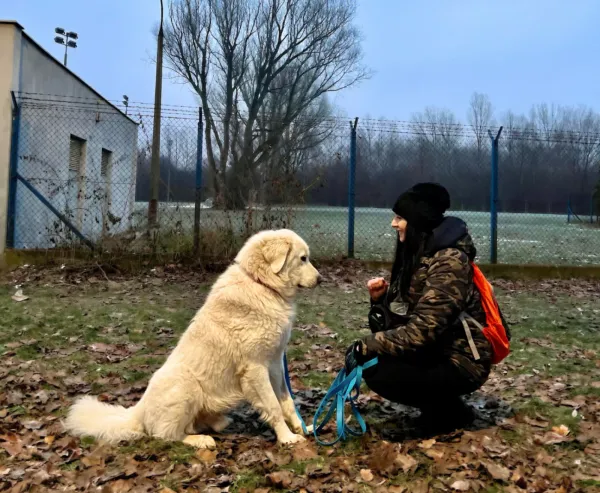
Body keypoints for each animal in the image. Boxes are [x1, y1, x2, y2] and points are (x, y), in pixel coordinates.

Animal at [63, 229, 322, 448]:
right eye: (303, 258)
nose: (321, 280)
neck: (262, 284)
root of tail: (138, 410)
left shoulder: (275, 363)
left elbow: (286, 401)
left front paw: (302, 428)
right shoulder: (255, 368)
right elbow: (273, 406)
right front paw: (287, 438)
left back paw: (220, 423)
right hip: (186, 385)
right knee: (166, 435)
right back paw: (200, 440)